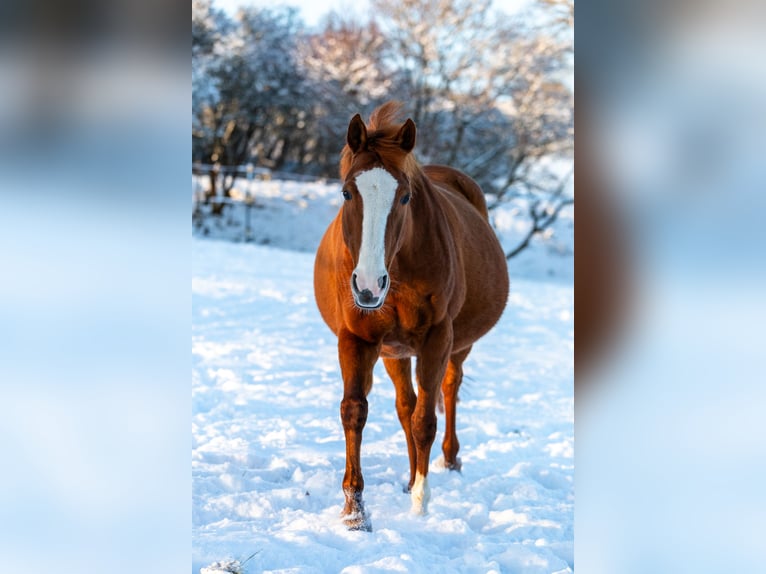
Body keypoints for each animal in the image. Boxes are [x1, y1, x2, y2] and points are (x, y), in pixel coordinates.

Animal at [312, 101, 510, 532]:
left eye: (404, 197)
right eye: (347, 191)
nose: (369, 285)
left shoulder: (438, 338)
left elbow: (425, 422)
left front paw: (421, 504)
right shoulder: (358, 339)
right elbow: (355, 411)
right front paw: (354, 511)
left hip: (456, 345)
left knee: (447, 391)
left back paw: (448, 462)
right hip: (394, 352)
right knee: (407, 405)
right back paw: (406, 478)